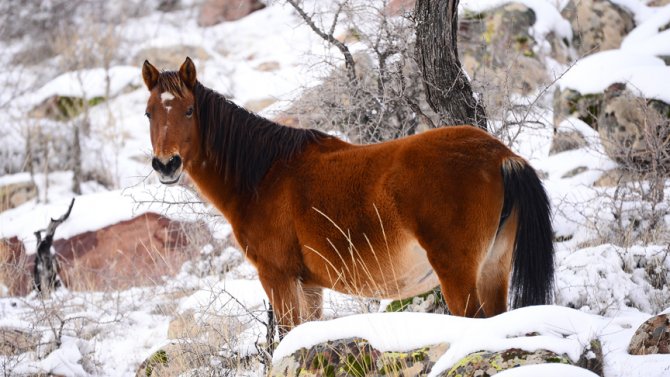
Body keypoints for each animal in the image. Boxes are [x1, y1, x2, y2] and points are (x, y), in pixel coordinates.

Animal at [142, 56, 556, 334]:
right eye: (149, 113)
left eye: (190, 110)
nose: (166, 164)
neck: (264, 174)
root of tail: (500, 155)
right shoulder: (309, 287)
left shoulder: (278, 278)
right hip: (493, 269)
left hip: (459, 276)